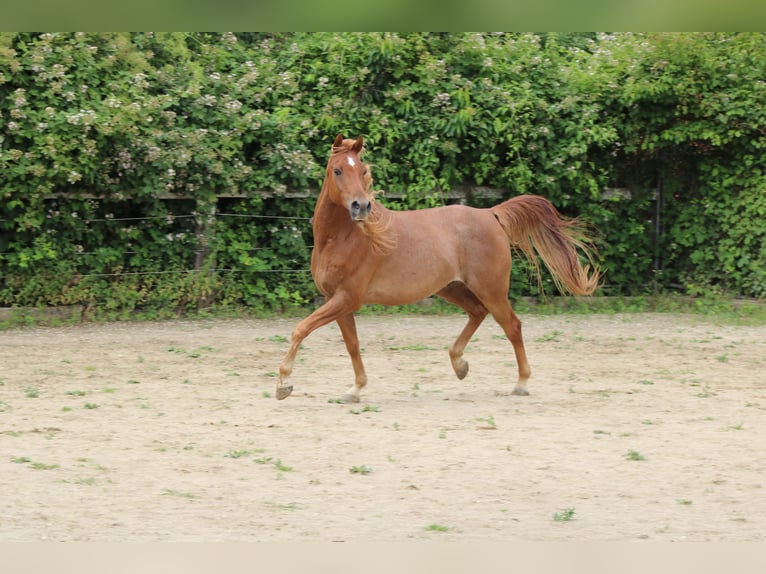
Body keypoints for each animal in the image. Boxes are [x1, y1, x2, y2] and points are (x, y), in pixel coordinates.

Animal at [277, 134, 600, 403]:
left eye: (363, 170)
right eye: (338, 170)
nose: (361, 206)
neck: (343, 239)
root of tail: (490, 214)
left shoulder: (347, 298)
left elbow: (299, 330)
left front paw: (283, 384)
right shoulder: (338, 300)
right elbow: (352, 344)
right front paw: (355, 389)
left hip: (491, 289)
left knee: (512, 326)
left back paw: (520, 383)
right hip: (452, 288)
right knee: (478, 313)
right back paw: (460, 365)